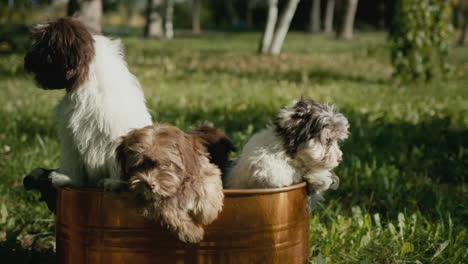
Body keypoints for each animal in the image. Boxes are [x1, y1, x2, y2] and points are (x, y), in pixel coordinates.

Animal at [22, 17, 151, 190]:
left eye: (43, 46)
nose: (27, 60)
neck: (86, 77)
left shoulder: (114, 133)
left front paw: (115, 182)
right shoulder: (70, 133)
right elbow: (71, 159)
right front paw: (67, 177)